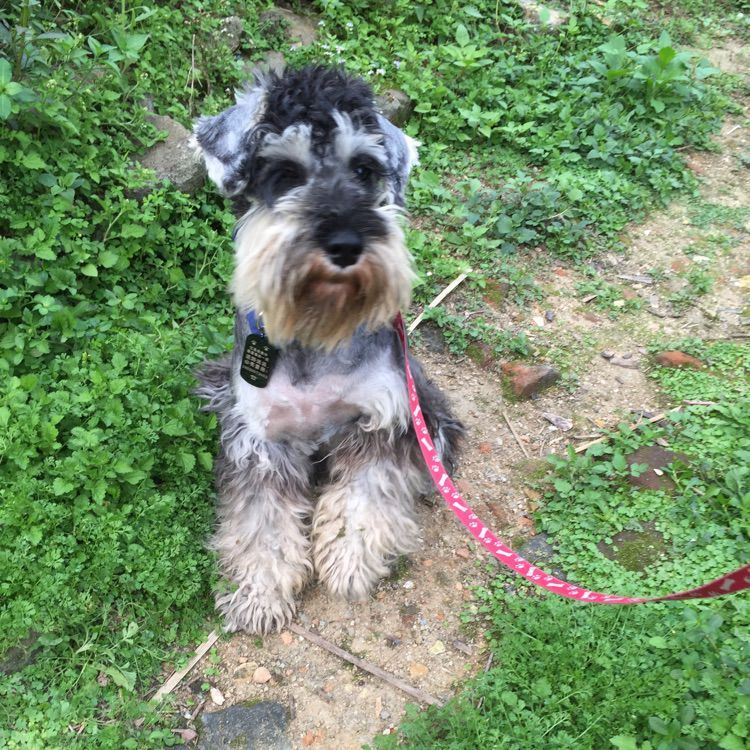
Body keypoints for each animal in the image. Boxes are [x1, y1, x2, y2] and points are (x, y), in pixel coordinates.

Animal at [193, 66, 463, 633]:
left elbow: (365, 495)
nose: (345, 243)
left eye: (363, 168)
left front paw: (349, 560)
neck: (319, 330)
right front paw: (259, 593)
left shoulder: (384, 419)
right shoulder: (260, 439)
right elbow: (261, 521)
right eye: (285, 172)